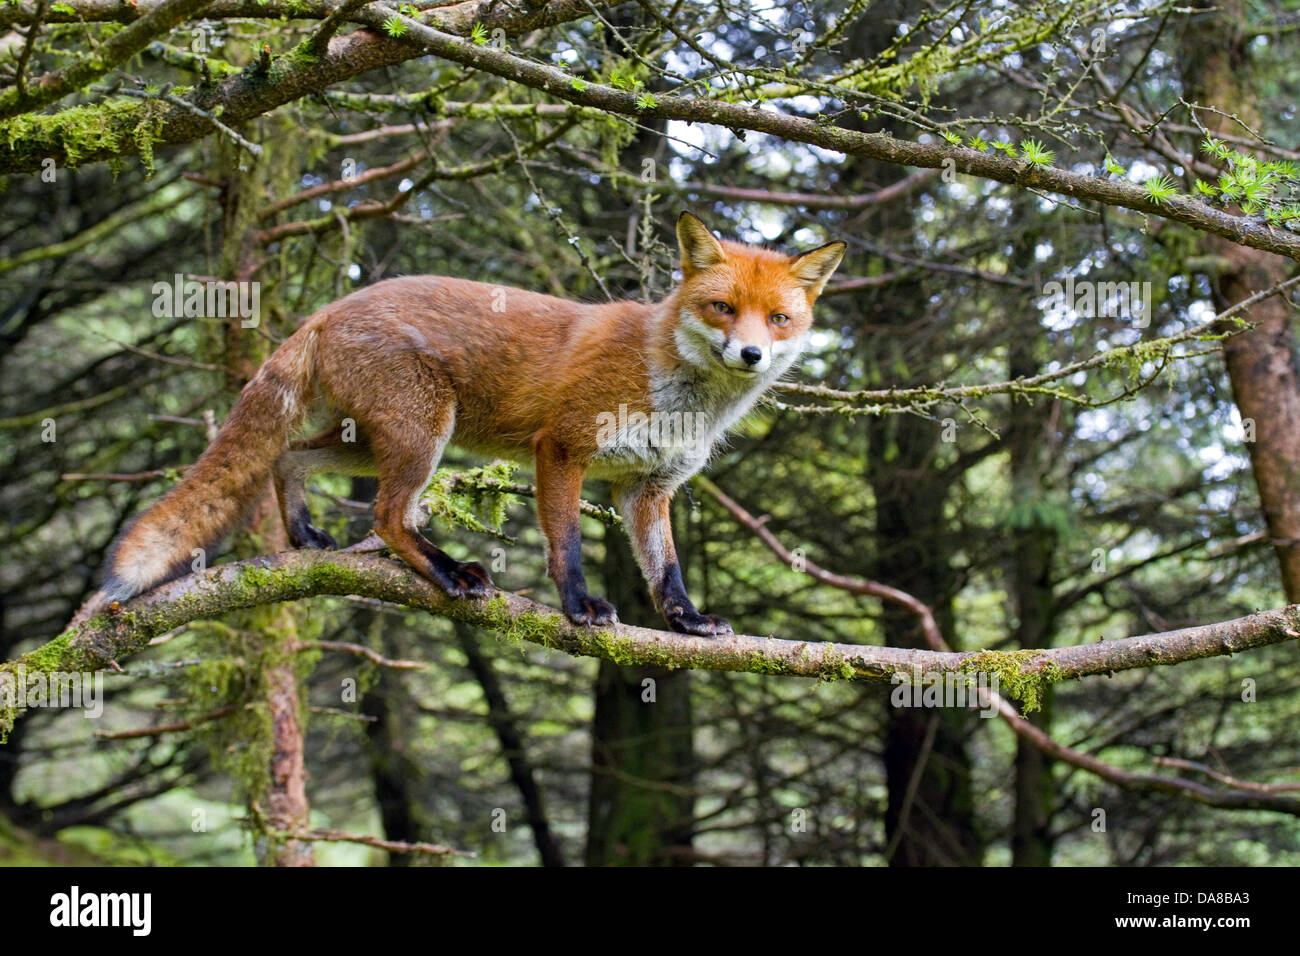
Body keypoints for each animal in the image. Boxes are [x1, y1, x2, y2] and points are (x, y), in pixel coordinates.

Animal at [89, 214, 842, 639]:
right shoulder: (561, 447)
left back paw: (304, 534)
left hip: (370, 442)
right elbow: (566, 546)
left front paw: (685, 620)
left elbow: (666, 569)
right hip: (424, 435)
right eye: (722, 308)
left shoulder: (647, 488)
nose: (750, 355)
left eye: (778, 319)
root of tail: (330, 308)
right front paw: (579, 607)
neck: (678, 392)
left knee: (289, 458)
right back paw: (449, 572)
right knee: (388, 519)